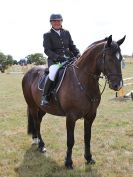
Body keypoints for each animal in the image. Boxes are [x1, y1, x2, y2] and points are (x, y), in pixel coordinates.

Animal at [21, 34, 125, 169]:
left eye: (121, 58)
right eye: (109, 59)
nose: (118, 85)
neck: (82, 80)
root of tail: (29, 72)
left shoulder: (91, 115)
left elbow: (87, 137)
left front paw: (89, 158)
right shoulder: (71, 117)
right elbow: (70, 140)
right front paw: (68, 162)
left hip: (42, 108)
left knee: (38, 121)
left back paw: (36, 140)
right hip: (33, 106)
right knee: (36, 123)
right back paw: (41, 145)